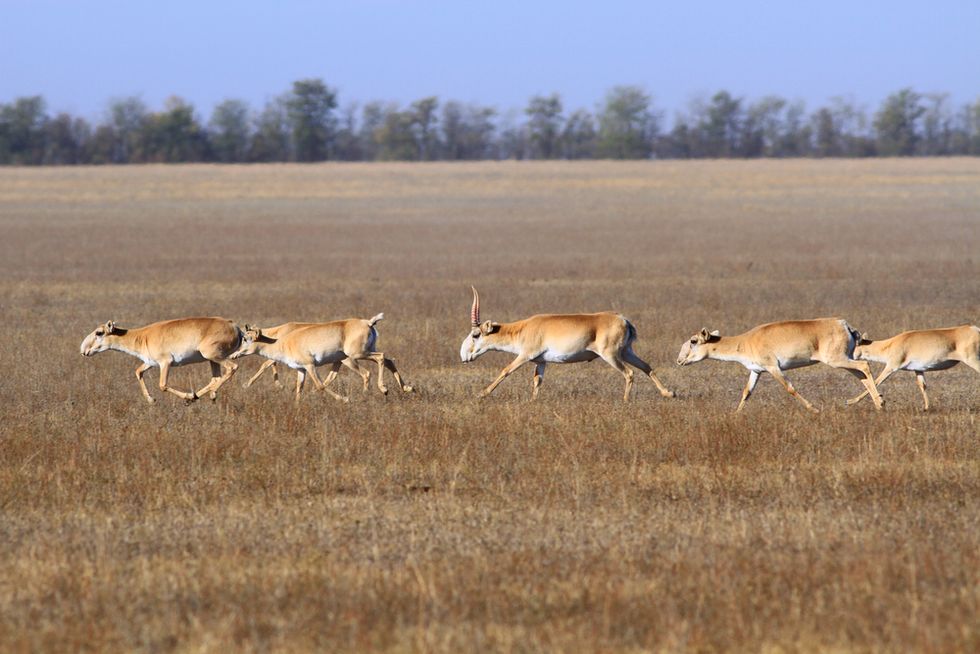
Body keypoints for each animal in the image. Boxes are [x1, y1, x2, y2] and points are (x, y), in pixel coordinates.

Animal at [80, 317, 241, 403]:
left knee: (232, 367)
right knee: (215, 378)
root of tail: (236, 327)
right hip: (212, 360)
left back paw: (199, 395)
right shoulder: (150, 363)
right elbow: (138, 372)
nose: (83, 350)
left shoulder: (165, 363)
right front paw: (151, 400)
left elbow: (162, 385)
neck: (141, 336)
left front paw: (188, 395)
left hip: (212, 355)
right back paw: (199, 397)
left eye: (99, 332)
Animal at [241, 322, 370, 392]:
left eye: (244, 337)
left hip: (347, 360)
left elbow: (264, 365)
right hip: (340, 361)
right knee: (332, 376)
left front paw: (247, 384)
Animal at [460, 287, 675, 401]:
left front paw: (481, 393)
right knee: (646, 367)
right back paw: (669, 393)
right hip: (627, 352)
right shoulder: (541, 362)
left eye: (476, 334)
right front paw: (532, 401)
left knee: (629, 373)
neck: (524, 328)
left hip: (611, 355)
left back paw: (625, 401)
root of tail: (624, 320)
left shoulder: (524, 356)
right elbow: (537, 381)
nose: (464, 357)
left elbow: (505, 370)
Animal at [676, 318, 883, 413]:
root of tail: (845, 325)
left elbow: (790, 388)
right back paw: (878, 403)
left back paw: (880, 403)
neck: (745, 341)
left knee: (864, 366)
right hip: (843, 360)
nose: (679, 360)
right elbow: (746, 392)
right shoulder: (756, 370)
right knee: (862, 375)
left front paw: (814, 409)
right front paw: (735, 414)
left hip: (836, 360)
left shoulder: (774, 368)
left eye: (693, 341)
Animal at [846, 325, 980, 410]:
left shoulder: (891, 367)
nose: (847, 357)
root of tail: (975, 329)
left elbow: (876, 381)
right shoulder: (919, 369)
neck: (890, 345)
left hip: (973, 360)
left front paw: (850, 401)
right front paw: (926, 408)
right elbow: (922, 385)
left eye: (853, 346)